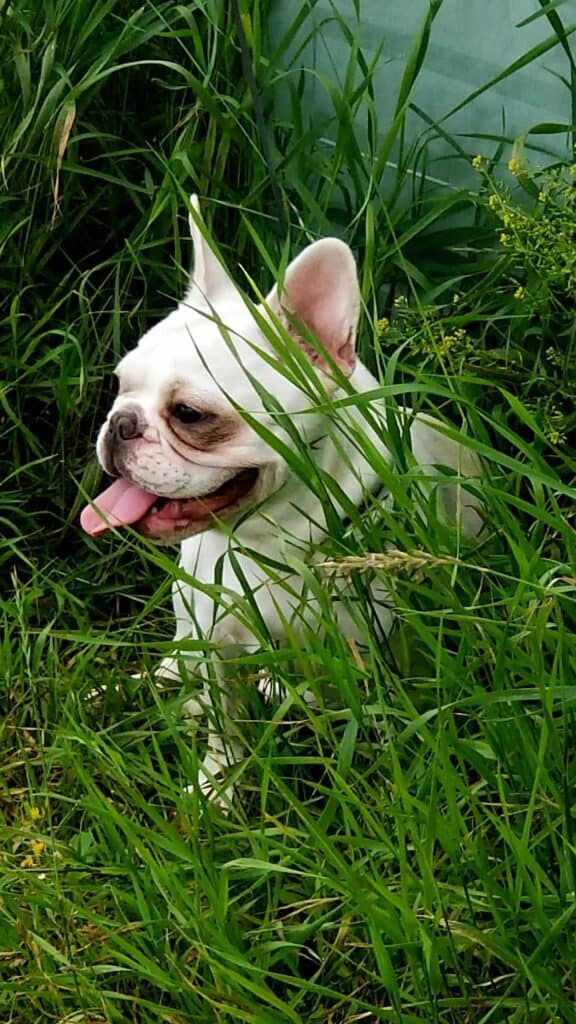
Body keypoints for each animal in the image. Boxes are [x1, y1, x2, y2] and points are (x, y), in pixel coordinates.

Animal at [78, 199, 477, 802]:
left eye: (189, 415)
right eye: (120, 385)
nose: (120, 424)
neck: (268, 539)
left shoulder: (374, 654)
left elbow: (381, 730)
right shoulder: (217, 642)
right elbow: (224, 725)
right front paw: (216, 788)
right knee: (180, 659)